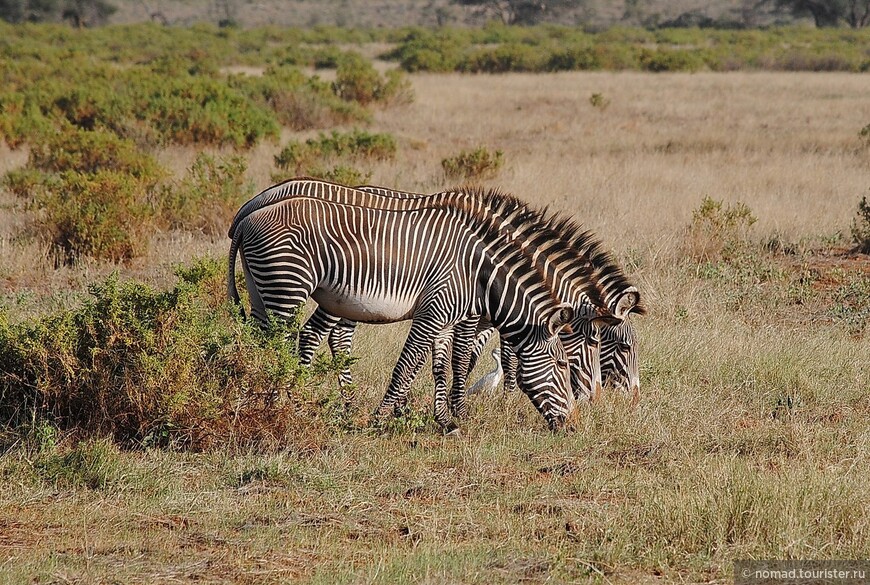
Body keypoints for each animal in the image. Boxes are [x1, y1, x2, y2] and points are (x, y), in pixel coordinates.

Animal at [230, 189, 612, 432]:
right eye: (562, 364)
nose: (575, 425)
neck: (480, 274)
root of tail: (247, 217)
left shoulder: (445, 318)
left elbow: (439, 366)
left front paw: (443, 420)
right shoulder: (437, 312)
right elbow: (413, 365)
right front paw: (381, 419)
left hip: (262, 291)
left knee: (261, 345)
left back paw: (257, 403)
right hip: (287, 288)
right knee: (282, 348)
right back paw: (282, 406)